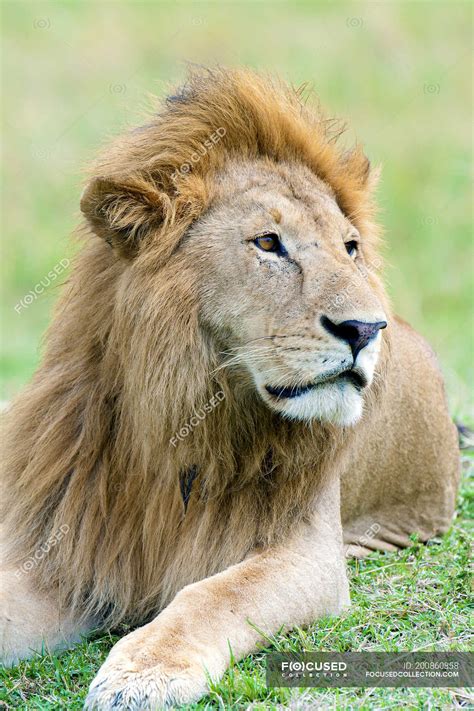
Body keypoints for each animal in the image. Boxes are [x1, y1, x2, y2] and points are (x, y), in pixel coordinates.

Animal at [0, 68, 460, 711]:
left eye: (350, 248)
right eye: (268, 243)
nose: (367, 329)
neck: (177, 423)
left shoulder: (307, 554)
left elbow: (214, 596)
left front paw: (146, 671)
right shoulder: (74, 548)